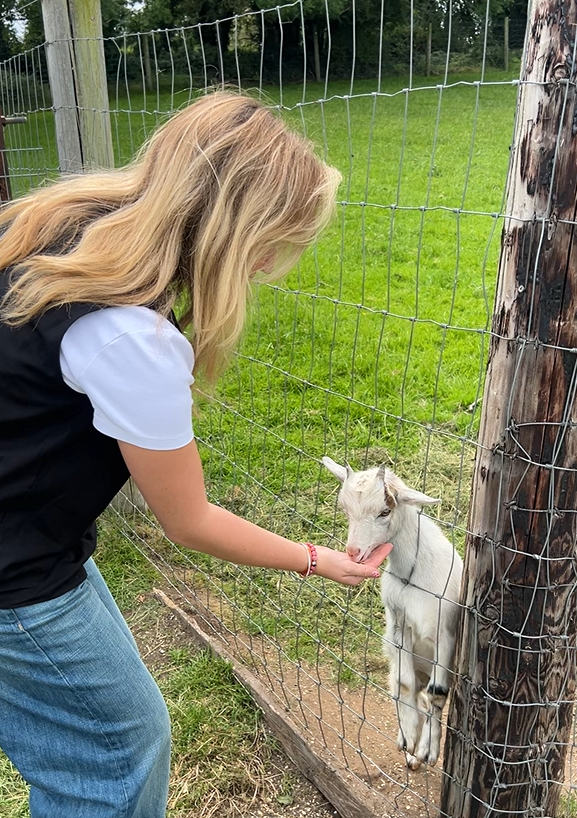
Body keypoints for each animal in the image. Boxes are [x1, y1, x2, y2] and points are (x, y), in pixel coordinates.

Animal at [322, 456, 463, 770]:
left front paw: (429, 750)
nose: (354, 552)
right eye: (345, 509)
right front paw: (409, 736)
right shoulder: (399, 623)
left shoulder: (446, 632)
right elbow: (404, 684)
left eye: (385, 511)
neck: (413, 575)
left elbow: (438, 694)